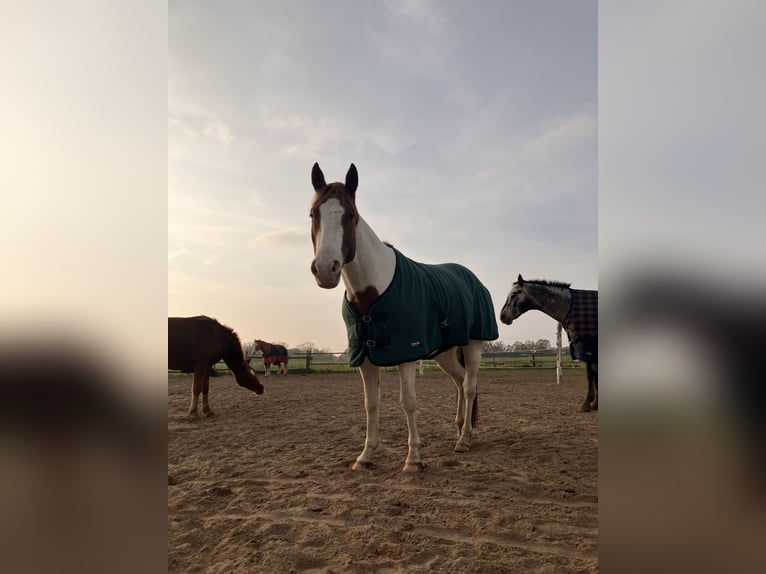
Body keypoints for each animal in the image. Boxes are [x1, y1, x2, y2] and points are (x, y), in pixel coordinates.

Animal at [308, 162, 500, 472]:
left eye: (350, 215)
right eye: (314, 214)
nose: (326, 268)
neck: (373, 292)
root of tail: (473, 279)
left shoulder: (406, 354)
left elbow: (408, 401)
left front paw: (413, 459)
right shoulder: (364, 357)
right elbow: (371, 403)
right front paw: (366, 455)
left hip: (473, 345)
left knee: (470, 387)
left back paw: (464, 440)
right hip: (445, 353)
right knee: (459, 382)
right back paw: (460, 428)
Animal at [500, 276, 604, 414]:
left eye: (514, 293)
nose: (502, 316)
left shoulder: (589, 350)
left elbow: (591, 376)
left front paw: (588, 404)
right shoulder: (590, 351)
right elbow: (594, 377)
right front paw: (594, 404)